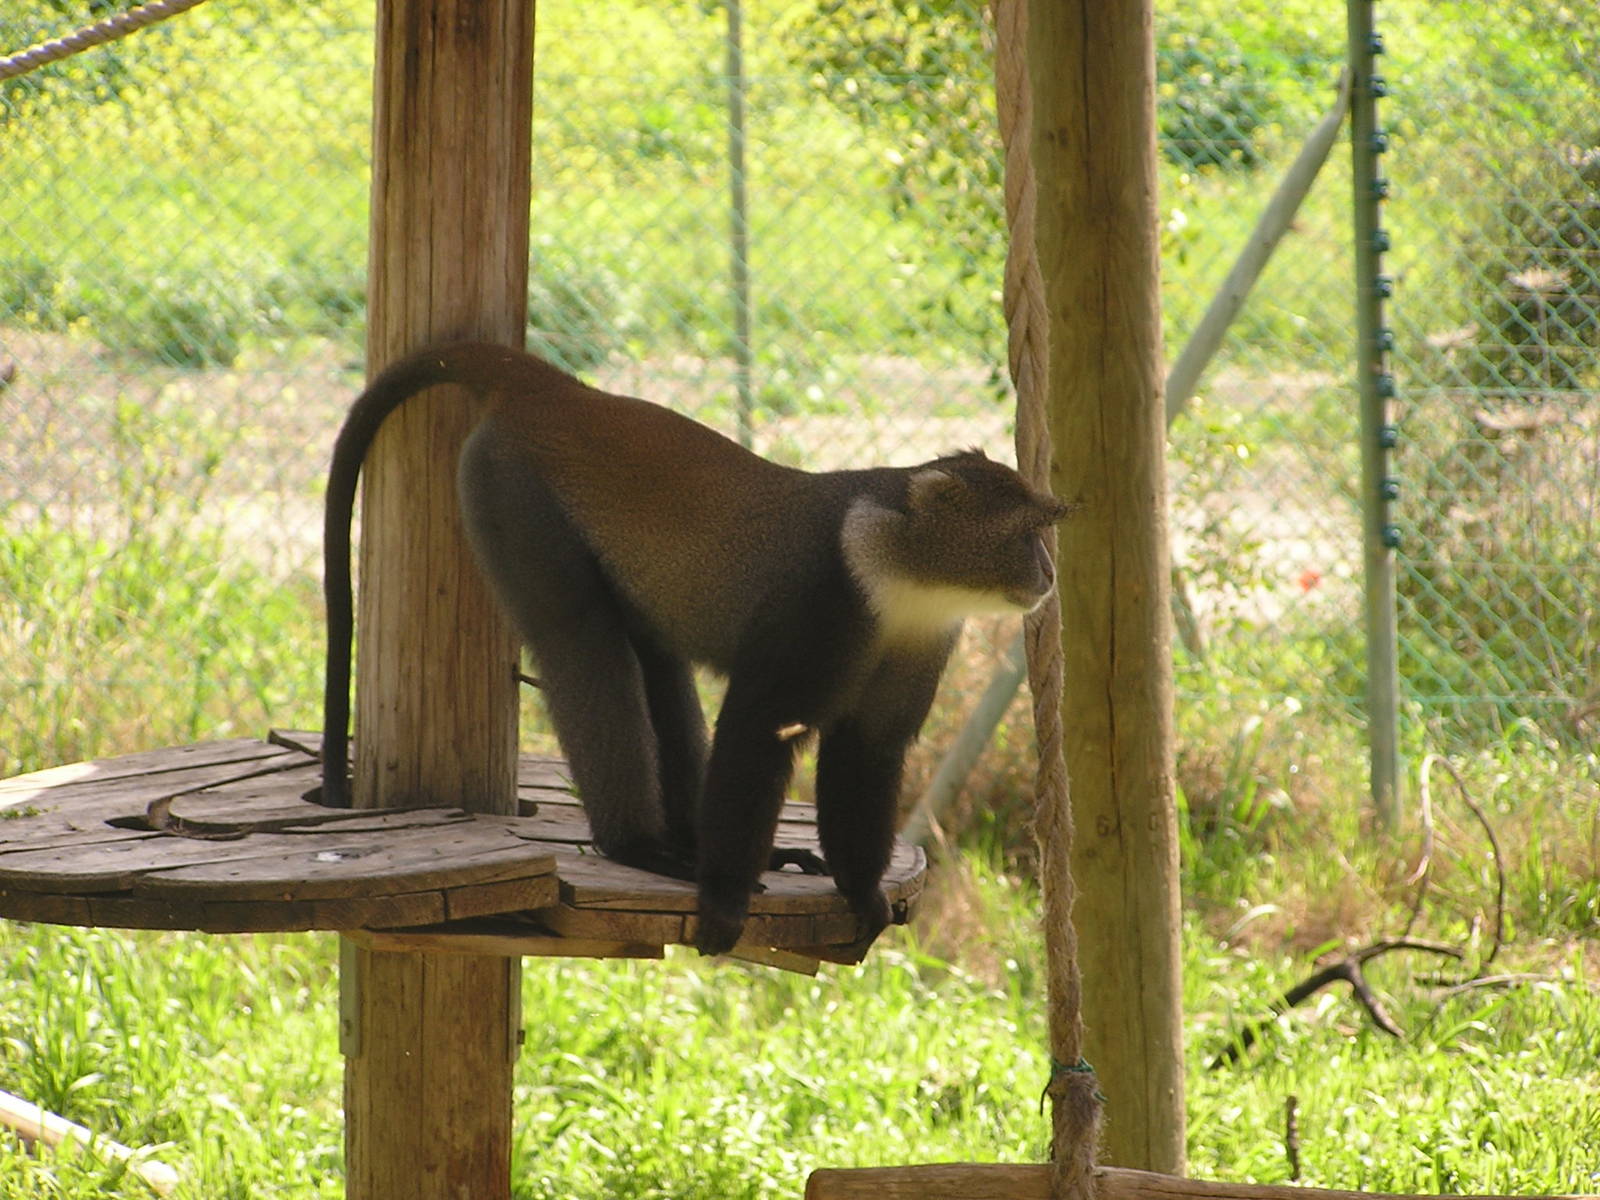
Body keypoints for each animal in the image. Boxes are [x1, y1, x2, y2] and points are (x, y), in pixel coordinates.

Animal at [320, 341, 1069, 956]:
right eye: (1025, 533)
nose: (1048, 572)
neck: (898, 565)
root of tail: (563, 394)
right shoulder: (819, 600)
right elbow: (759, 729)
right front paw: (726, 899)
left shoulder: (923, 636)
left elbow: (868, 749)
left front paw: (860, 892)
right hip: (510, 493)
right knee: (581, 639)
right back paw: (641, 848)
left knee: (656, 659)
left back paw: (690, 843)